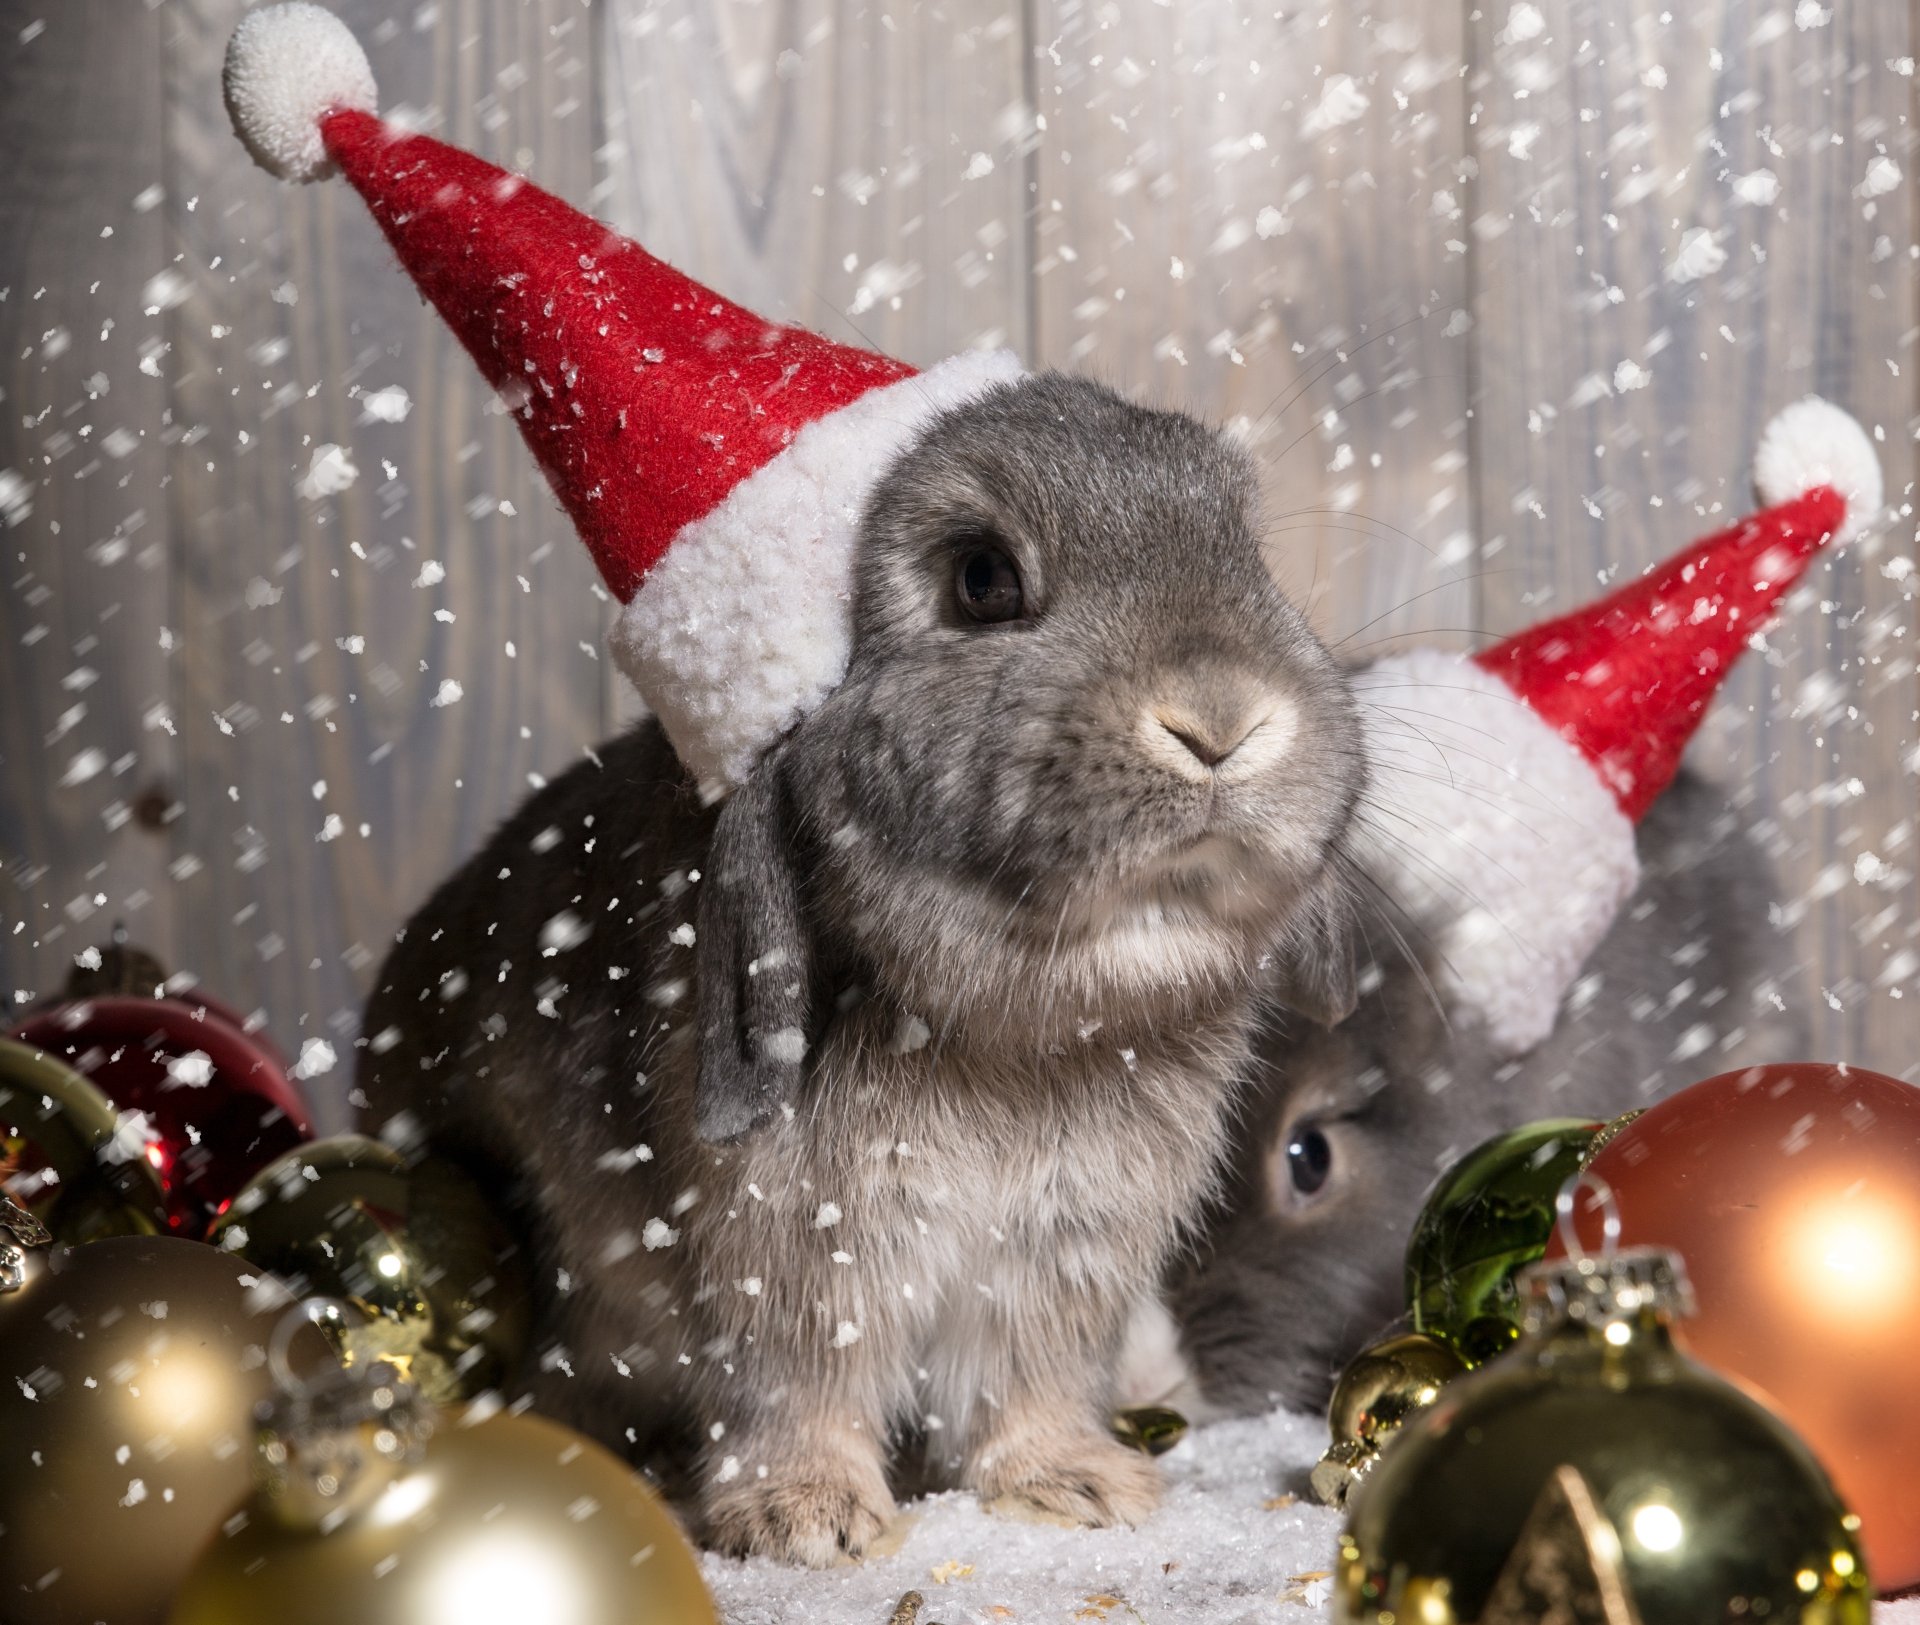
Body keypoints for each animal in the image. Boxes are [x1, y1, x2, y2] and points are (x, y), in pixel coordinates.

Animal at [354, 371, 1369, 1566]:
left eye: (1246, 550)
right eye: (983, 579)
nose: (1221, 720)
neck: (1019, 1023)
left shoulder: (1058, 1251)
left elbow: (1025, 1376)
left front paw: (1076, 1485)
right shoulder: (784, 1243)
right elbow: (796, 1379)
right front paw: (807, 1519)